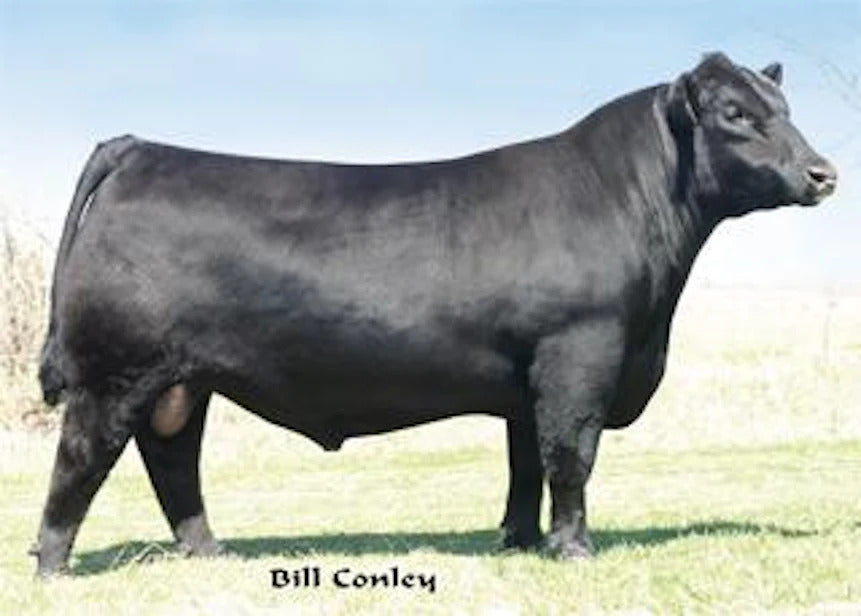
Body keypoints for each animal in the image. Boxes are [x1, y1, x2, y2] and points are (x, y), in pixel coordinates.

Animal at [32, 52, 836, 576]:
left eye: (785, 111)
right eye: (735, 114)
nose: (822, 172)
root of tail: (142, 148)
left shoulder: (528, 378)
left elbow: (525, 462)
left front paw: (518, 541)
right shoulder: (580, 357)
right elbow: (570, 457)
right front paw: (574, 550)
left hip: (182, 380)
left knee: (172, 460)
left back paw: (208, 554)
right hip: (113, 374)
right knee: (81, 460)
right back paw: (52, 565)